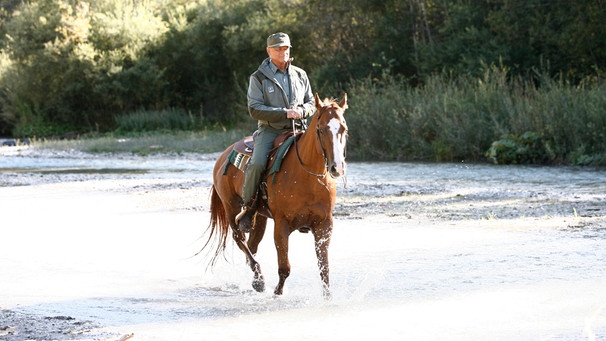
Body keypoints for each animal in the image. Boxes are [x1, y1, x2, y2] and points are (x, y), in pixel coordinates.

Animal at [204, 92, 350, 294]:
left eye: (343, 129)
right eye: (320, 130)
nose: (337, 168)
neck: (307, 177)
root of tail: (223, 156)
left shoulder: (324, 224)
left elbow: (324, 269)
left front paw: (328, 297)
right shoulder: (281, 224)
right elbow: (284, 267)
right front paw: (277, 293)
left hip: (259, 216)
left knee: (251, 244)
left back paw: (255, 278)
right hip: (231, 206)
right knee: (239, 238)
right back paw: (259, 281)